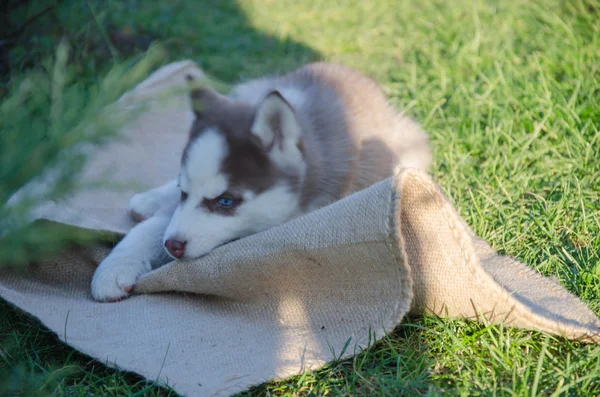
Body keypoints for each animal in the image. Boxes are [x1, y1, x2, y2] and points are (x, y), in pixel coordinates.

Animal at [91, 62, 432, 300]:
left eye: (226, 201)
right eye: (183, 192)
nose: (172, 246)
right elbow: (151, 227)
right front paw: (116, 266)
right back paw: (149, 199)